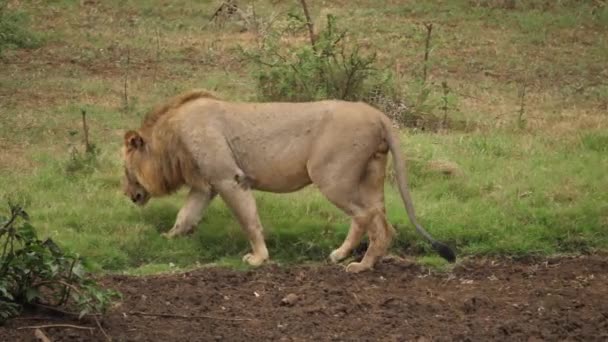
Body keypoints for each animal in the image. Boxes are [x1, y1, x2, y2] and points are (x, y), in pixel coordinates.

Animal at [121, 89, 456, 274]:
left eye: (125, 169)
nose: (127, 194)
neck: (170, 140)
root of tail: (378, 114)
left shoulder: (229, 178)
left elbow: (248, 220)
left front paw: (258, 258)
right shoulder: (207, 184)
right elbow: (185, 216)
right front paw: (166, 240)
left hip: (331, 176)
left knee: (365, 217)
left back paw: (357, 263)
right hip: (370, 176)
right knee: (382, 221)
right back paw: (354, 258)